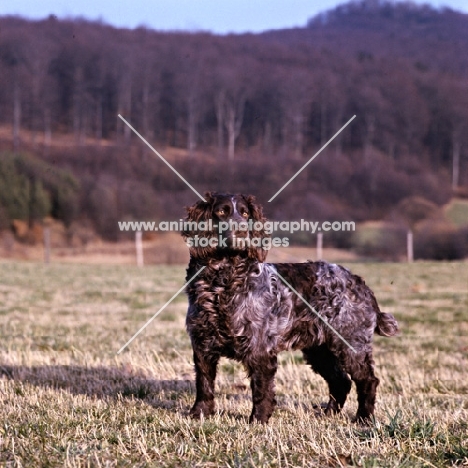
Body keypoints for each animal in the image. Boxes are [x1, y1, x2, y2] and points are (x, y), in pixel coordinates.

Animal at [183, 192, 398, 422]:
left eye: (245, 213)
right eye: (222, 211)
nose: (242, 231)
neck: (221, 282)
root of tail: (360, 283)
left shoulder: (259, 348)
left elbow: (261, 390)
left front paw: (258, 420)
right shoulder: (202, 345)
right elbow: (204, 384)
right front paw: (199, 413)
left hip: (350, 344)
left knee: (367, 380)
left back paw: (363, 418)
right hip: (319, 350)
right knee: (341, 381)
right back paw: (328, 413)